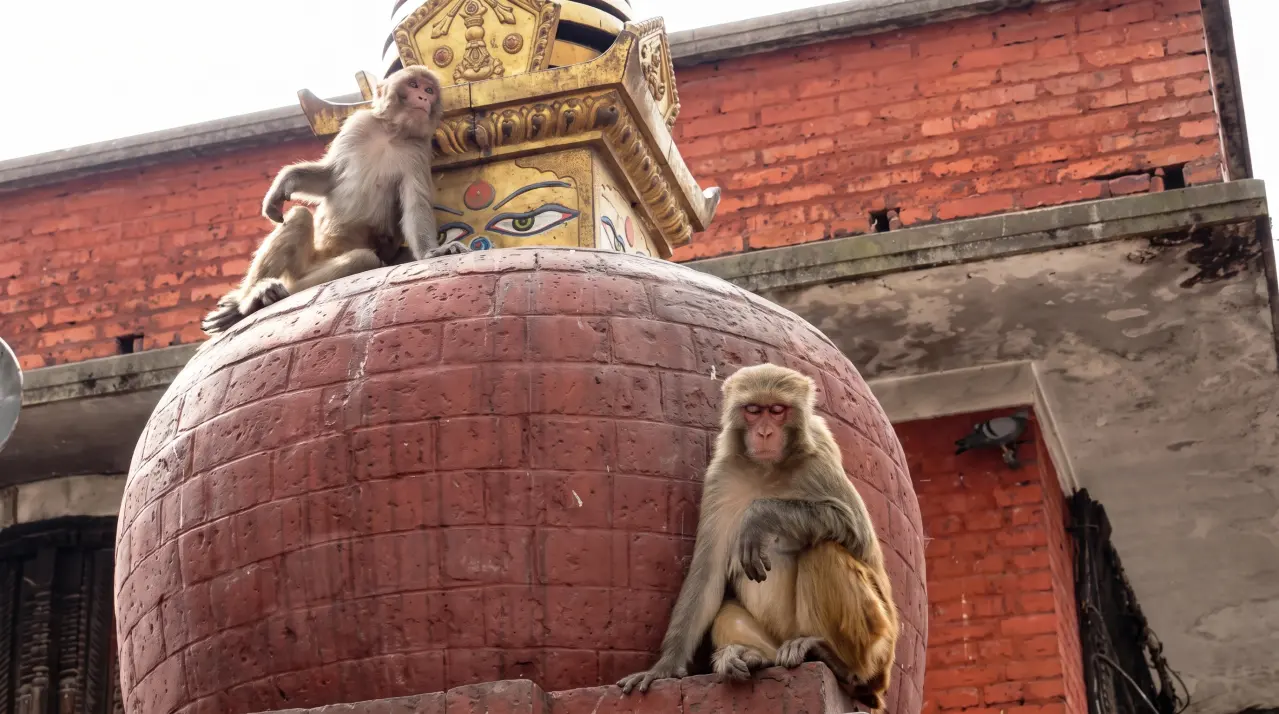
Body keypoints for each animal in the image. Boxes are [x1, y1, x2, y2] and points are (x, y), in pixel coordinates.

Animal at [202, 64, 465, 335]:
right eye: (414, 85)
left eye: (430, 90)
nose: (423, 97)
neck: (391, 134)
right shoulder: (357, 125)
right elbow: (330, 176)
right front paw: (283, 183)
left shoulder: (419, 151)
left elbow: (414, 204)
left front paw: (432, 252)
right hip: (308, 260)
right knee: (299, 216)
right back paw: (249, 299)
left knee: (362, 258)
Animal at [617, 363, 899, 709]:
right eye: (753, 410)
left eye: (777, 410)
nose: (765, 433)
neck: (768, 469)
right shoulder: (721, 476)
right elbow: (708, 574)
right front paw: (664, 669)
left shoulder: (818, 462)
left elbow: (856, 532)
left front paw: (760, 516)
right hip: (778, 641)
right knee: (727, 613)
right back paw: (751, 658)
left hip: (877, 642)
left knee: (824, 549)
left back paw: (838, 665)